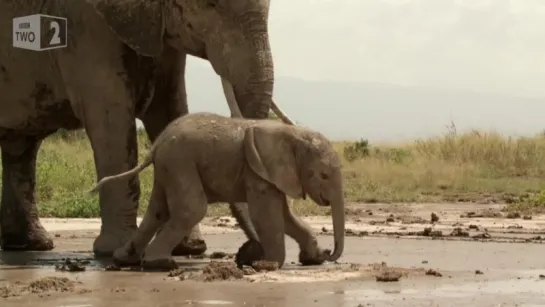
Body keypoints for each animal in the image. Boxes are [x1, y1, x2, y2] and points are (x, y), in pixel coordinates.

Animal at [1, 0, 284, 256]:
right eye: (212, 5)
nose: (250, 251)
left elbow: (169, 108)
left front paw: (189, 249)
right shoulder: (84, 28)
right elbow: (111, 122)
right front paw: (114, 249)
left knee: (22, 147)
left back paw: (30, 245)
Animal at [89, 112, 344, 270]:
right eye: (323, 175)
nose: (328, 253)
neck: (292, 134)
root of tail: (157, 143)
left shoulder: (269, 174)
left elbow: (286, 216)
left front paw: (311, 259)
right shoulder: (257, 171)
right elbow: (267, 216)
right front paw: (266, 265)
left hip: (169, 167)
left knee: (158, 211)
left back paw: (124, 259)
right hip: (180, 162)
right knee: (192, 209)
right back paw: (160, 264)